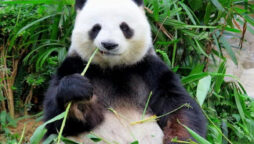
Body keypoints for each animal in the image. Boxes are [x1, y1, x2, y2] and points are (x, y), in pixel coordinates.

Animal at [43, 0, 206, 143]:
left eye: (124, 27)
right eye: (96, 28)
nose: (109, 44)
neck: (114, 69)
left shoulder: (150, 70)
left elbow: (180, 108)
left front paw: (181, 139)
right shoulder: (75, 65)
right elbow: (58, 122)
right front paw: (77, 93)